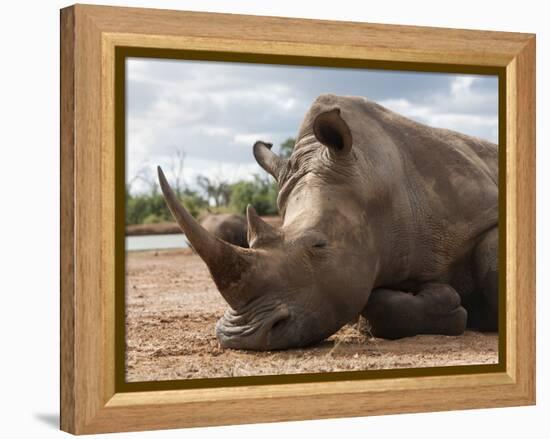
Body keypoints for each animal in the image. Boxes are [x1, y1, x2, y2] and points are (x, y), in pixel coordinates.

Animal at [156, 93, 500, 350]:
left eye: (318, 244)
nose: (243, 337)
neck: (373, 179)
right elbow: (371, 306)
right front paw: (450, 305)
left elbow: (490, 260)